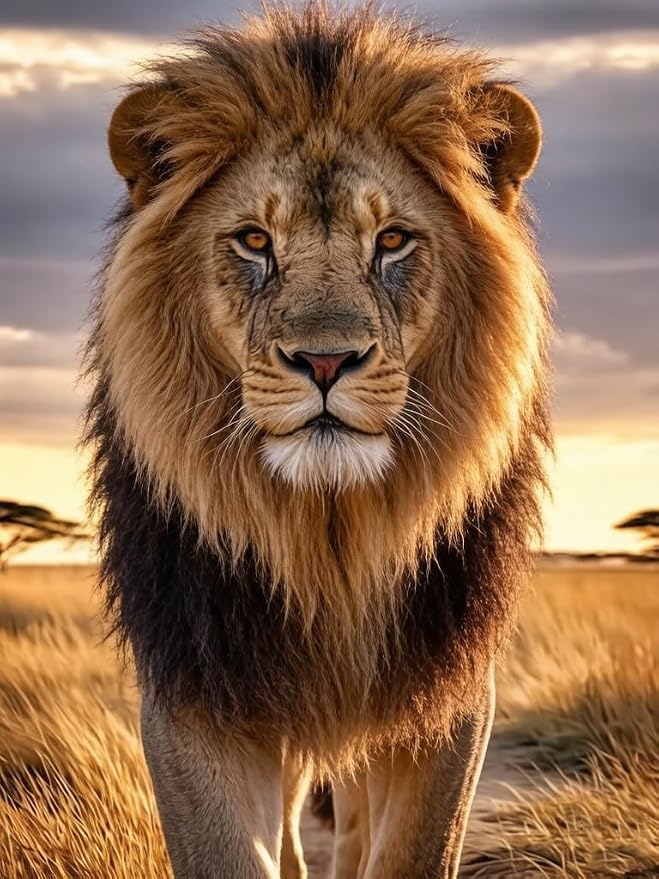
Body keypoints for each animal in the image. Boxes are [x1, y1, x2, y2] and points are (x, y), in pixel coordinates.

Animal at [84, 3, 551, 877]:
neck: (325, 535)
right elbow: (228, 852)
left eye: (393, 240)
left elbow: (411, 850)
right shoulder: (196, 683)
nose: (326, 361)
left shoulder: (447, 688)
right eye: (254, 241)